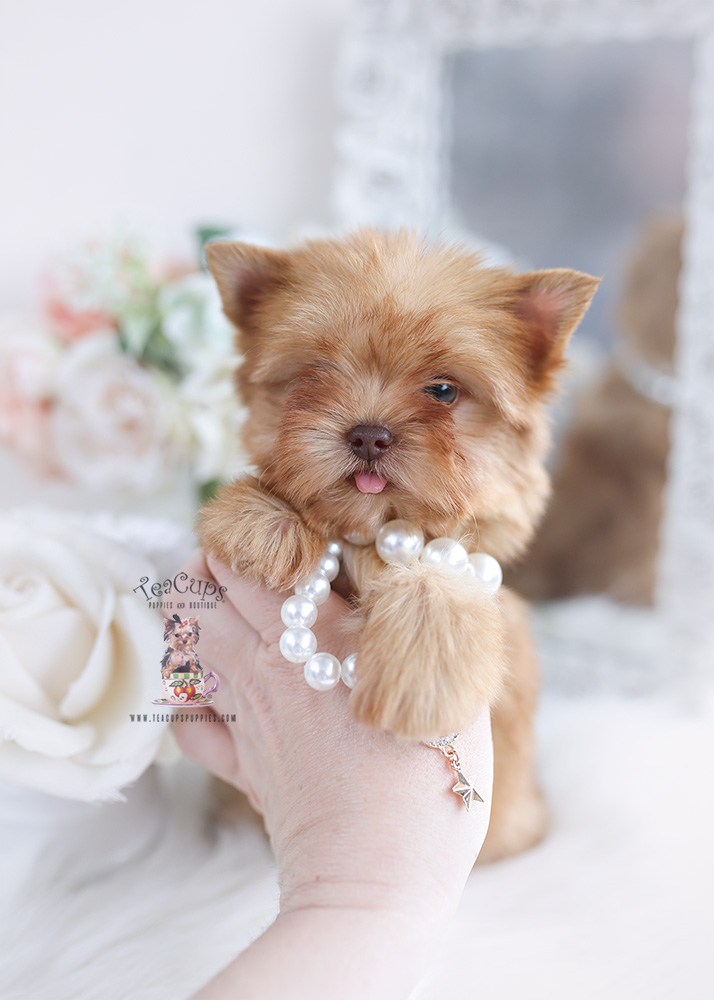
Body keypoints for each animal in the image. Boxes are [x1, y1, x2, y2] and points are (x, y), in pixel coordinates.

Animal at [199, 229, 596, 860]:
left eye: (444, 391)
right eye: (313, 374)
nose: (368, 433)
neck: (374, 535)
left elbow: (441, 581)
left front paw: (422, 677)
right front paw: (263, 523)